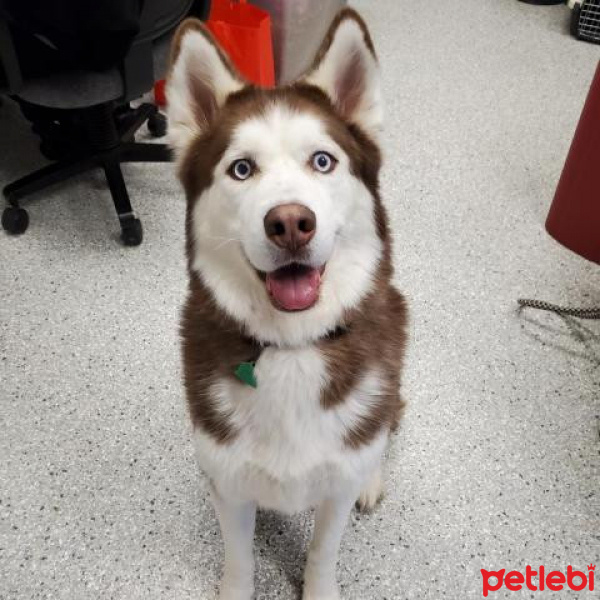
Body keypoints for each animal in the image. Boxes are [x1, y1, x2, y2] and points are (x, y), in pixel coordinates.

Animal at [164, 9, 408, 600]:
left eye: (322, 161)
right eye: (241, 169)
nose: (291, 222)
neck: (293, 348)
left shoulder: (335, 487)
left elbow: (323, 552)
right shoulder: (228, 483)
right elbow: (239, 559)